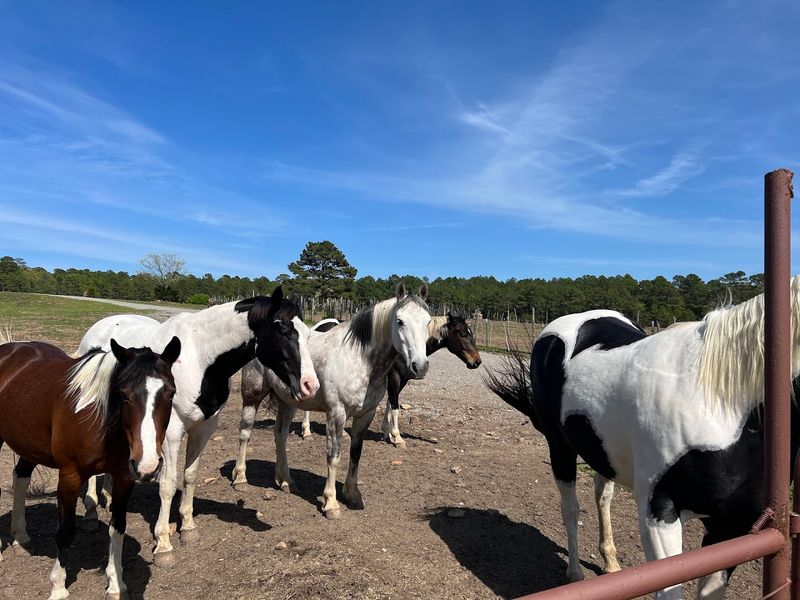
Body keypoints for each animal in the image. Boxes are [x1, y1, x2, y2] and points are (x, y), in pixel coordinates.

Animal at [0, 335, 181, 599]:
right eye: (124, 395)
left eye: (170, 393)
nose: (148, 465)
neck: (99, 419)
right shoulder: (70, 476)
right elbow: (65, 532)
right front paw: (58, 587)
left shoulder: (124, 477)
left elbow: (117, 528)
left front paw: (116, 584)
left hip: (29, 444)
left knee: (21, 478)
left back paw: (21, 538)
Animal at [75, 286, 319, 567]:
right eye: (282, 330)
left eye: (307, 333)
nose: (310, 385)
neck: (199, 359)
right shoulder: (171, 434)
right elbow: (168, 484)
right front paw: (163, 544)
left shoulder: (204, 428)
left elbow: (190, 475)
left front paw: (188, 527)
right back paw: (91, 513)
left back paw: (109, 497)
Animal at [232, 283, 432, 519]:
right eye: (400, 321)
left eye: (428, 321)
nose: (420, 367)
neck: (359, 359)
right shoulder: (336, 413)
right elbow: (333, 455)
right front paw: (331, 503)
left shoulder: (366, 414)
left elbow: (355, 453)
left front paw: (352, 495)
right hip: (252, 395)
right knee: (245, 432)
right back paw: (240, 478)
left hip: (287, 401)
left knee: (280, 435)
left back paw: (285, 481)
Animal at [486, 280, 800, 600]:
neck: (721, 402)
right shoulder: (660, 511)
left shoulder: (731, 526)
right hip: (559, 446)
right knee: (570, 508)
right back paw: (575, 576)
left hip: (603, 452)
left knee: (602, 496)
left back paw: (611, 563)